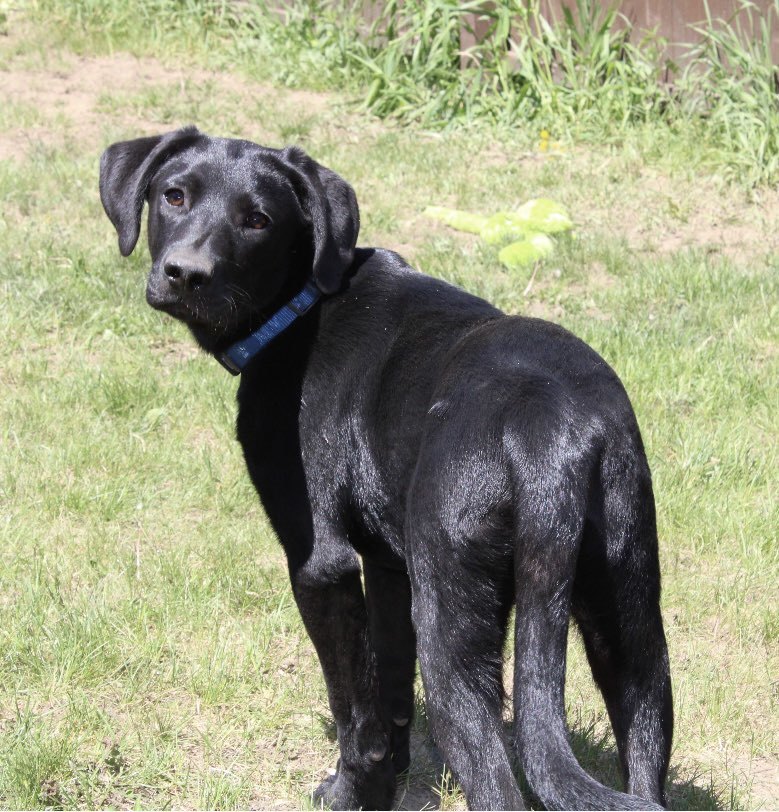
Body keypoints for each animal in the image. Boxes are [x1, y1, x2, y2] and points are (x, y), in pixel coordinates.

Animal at [100, 130, 672, 808]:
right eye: (174, 195)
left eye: (258, 220)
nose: (185, 274)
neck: (301, 305)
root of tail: (549, 429)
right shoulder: (390, 563)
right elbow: (390, 680)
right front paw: (393, 777)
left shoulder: (322, 563)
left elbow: (354, 706)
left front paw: (353, 790)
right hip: (630, 623)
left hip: (454, 628)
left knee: (495, 779)